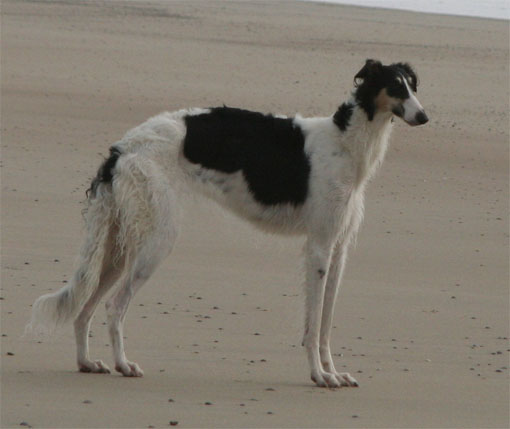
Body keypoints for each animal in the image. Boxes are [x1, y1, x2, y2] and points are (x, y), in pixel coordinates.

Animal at [27, 59, 428, 388]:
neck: (345, 143)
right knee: (113, 306)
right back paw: (124, 365)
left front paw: (333, 373)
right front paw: (319, 375)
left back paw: (87, 362)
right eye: (395, 86)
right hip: (156, 240)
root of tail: (123, 147)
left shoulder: (339, 248)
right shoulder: (319, 246)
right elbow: (313, 325)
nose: (424, 117)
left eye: (413, 85)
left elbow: (326, 322)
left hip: (120, 244)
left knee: (85, 308)